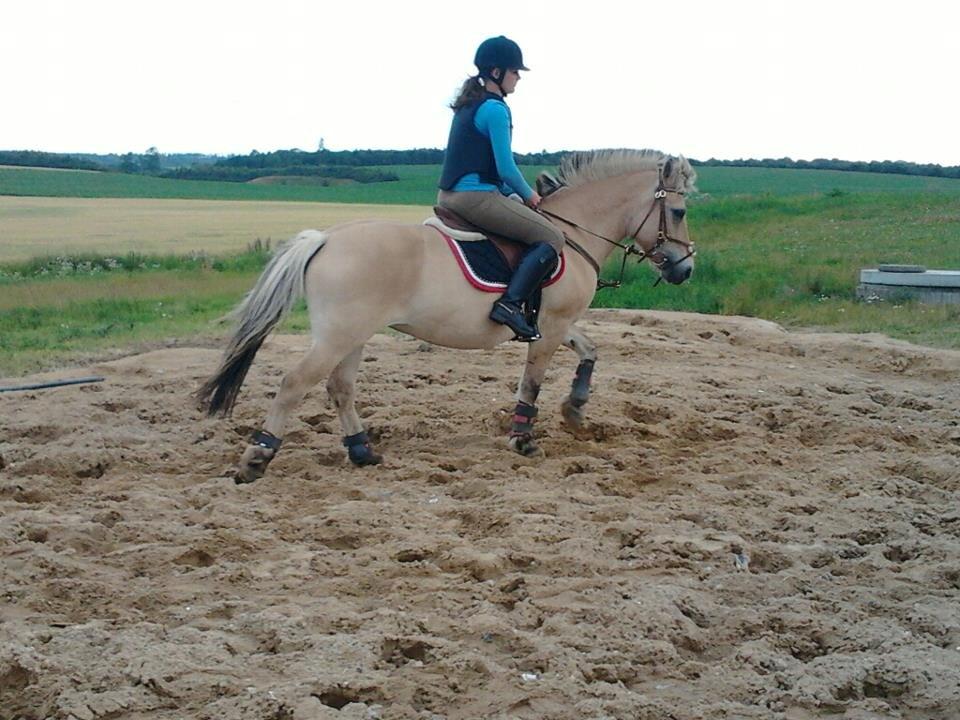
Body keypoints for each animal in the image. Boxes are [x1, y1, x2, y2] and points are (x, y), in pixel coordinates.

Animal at [196, 149, 697, 483]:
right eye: (678, 210)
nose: (685, 268)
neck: (573, 234)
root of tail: (325, 238)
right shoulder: (552, 325)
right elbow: (532, 381)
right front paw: (523, 438)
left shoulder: (556, 324)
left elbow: (590, 350)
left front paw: (574, 409)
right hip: (339, 334)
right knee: (295, 383)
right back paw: (257, 458)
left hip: (353, 334)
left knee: (340, 388)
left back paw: (362, 452)